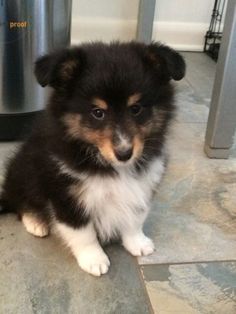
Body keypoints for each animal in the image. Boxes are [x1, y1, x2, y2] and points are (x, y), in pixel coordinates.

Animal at [0, 41, 185, 274]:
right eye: (97, 112)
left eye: (135, 108)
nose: (124, 153)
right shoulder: (67, 194)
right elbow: (82, 231)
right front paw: (94, 260)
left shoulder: (142, 182)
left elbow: (135, 217)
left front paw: (138, 244)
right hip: (24, 171)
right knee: (20, 202)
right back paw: (37, 222)